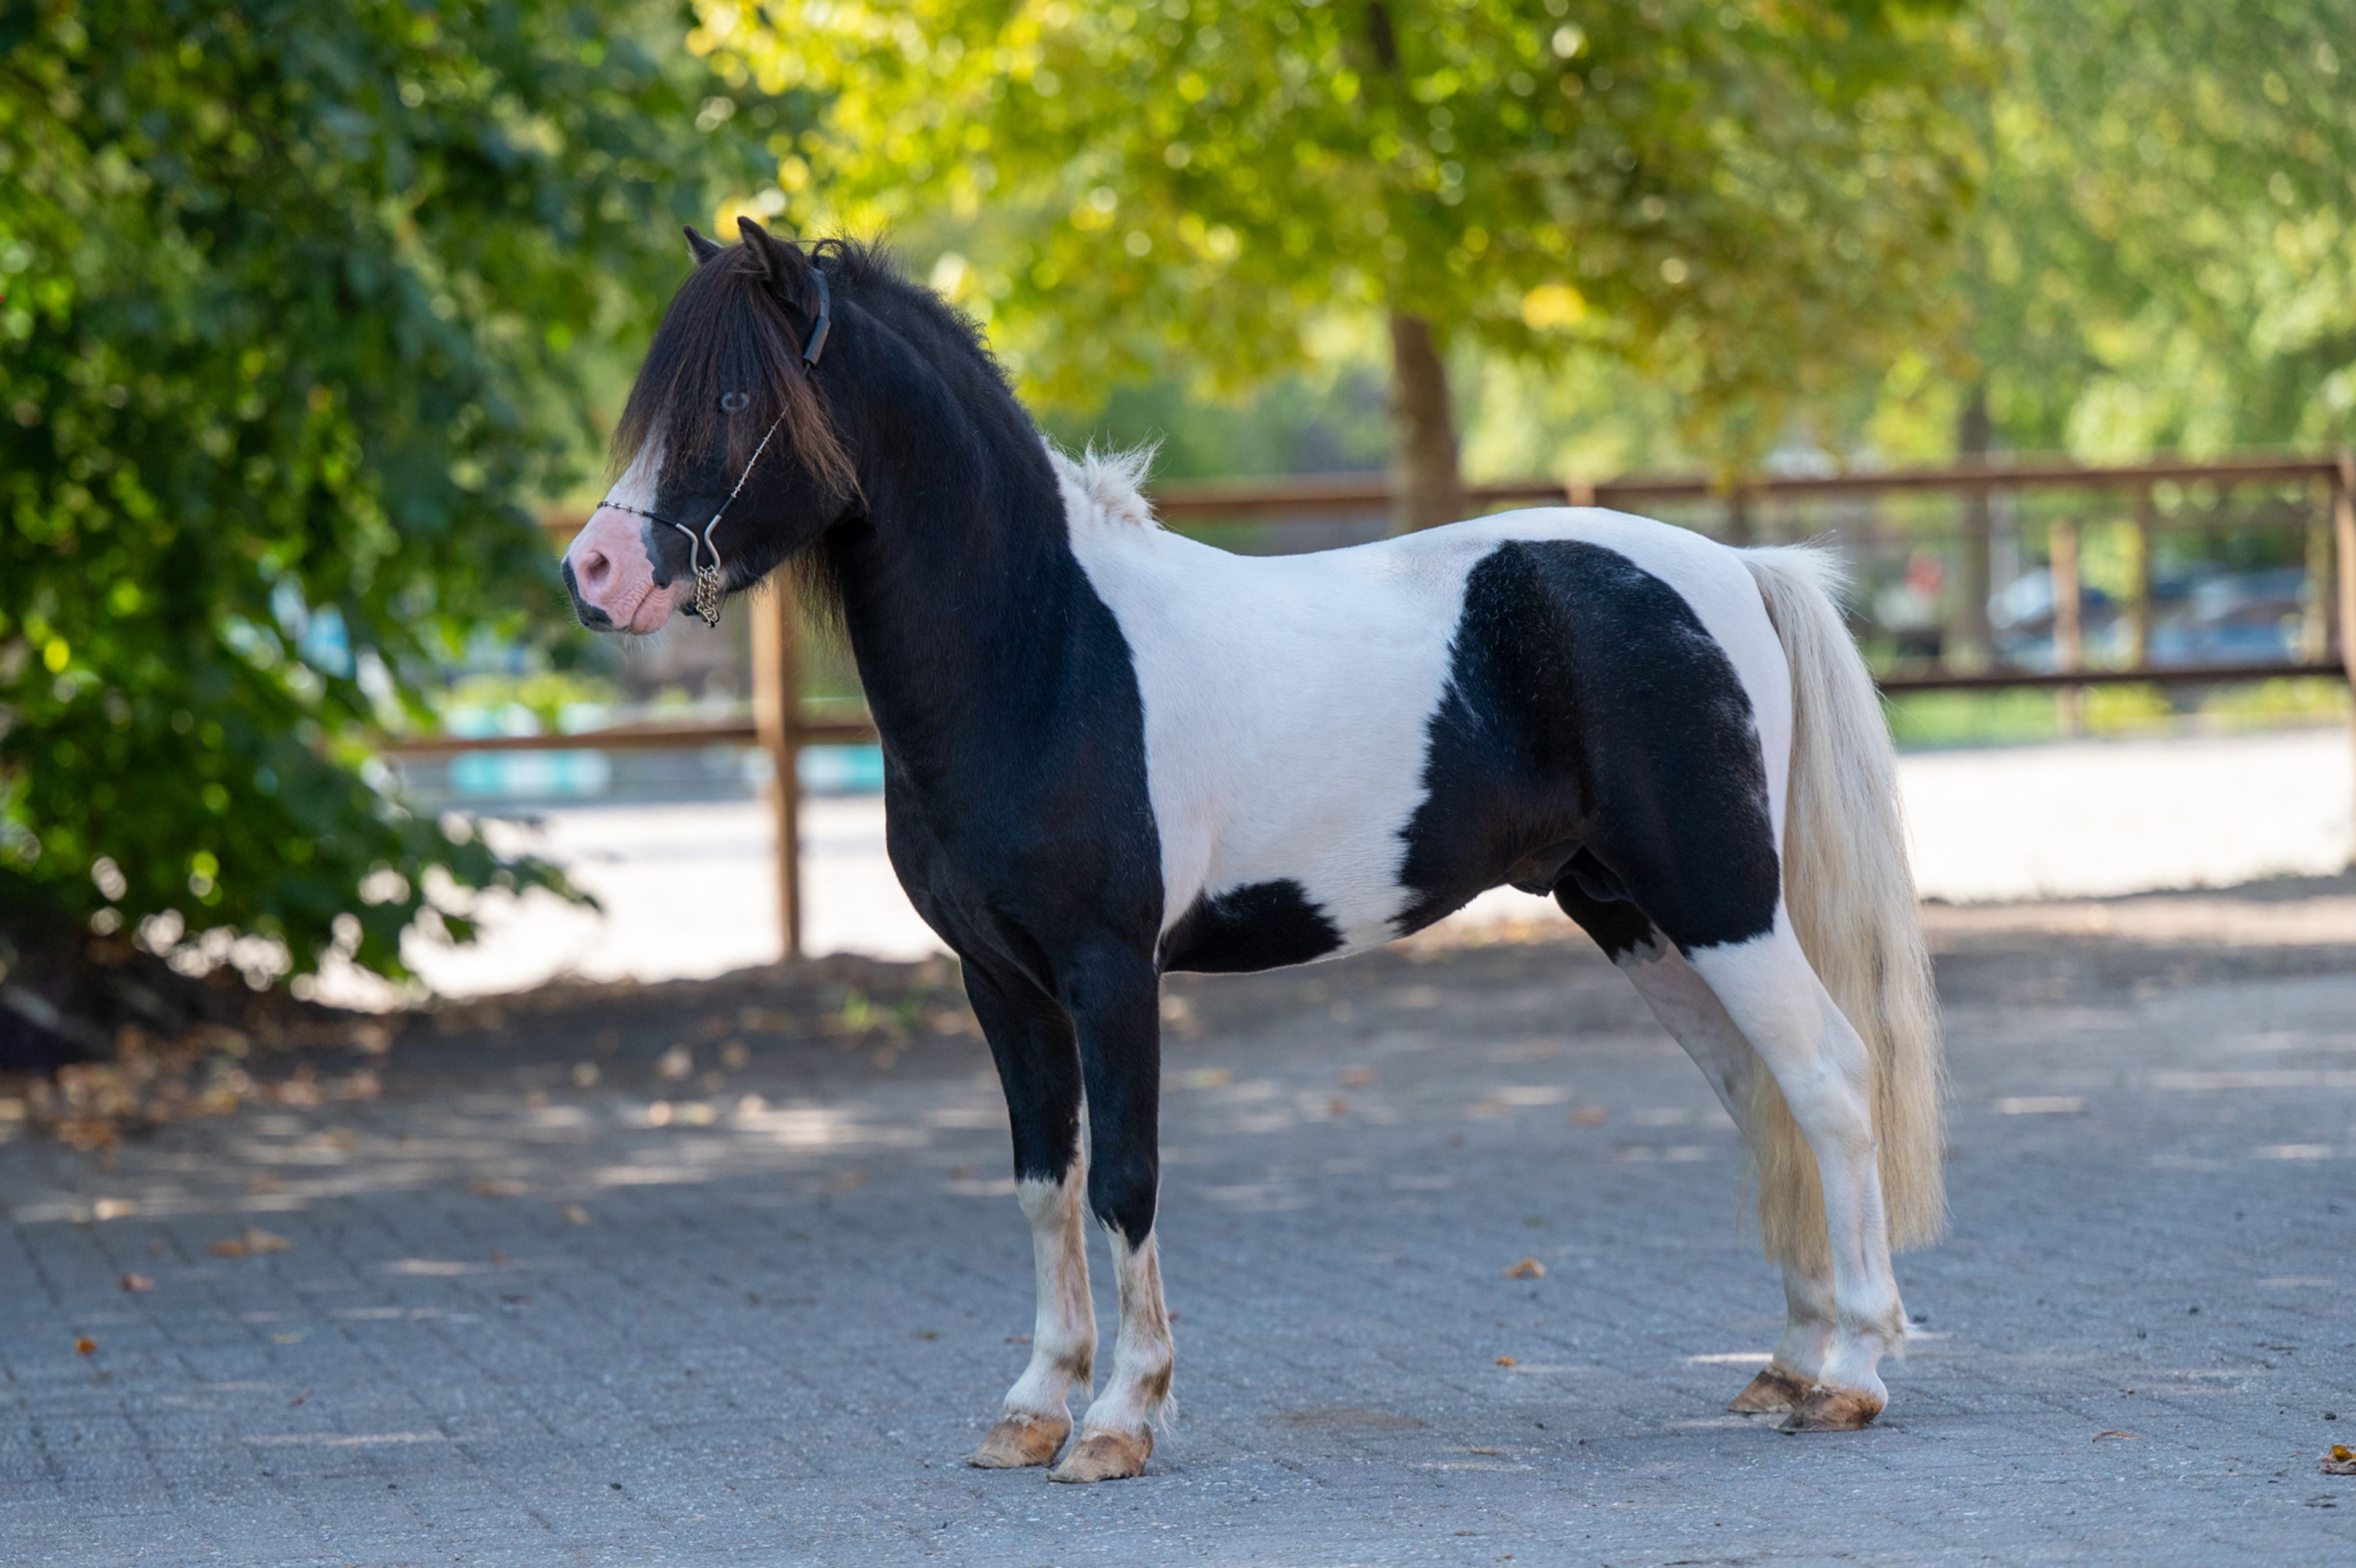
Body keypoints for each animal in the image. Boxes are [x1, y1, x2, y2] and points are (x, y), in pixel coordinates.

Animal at [560, 219, 1945, 1482]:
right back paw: (1788, 1364)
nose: (595, 572)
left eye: (734, 398)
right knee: (1762, 1095)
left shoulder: (1111, 970)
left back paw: (1853, 1376)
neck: (1044, 646)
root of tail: (1735, 569)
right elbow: (1042, 1180)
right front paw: (1031, 1409)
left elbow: (1123, 1178)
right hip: (1635, 916)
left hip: (1721, 901)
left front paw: (1119, 1420)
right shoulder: (998, 979)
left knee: (1829, 1076)